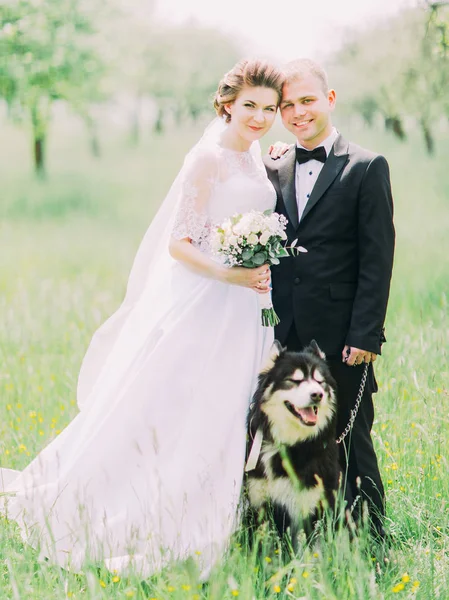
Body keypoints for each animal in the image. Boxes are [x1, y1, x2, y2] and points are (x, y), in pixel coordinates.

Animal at [245, 342, 340, 544]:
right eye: (295, 380)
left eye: (319, 381)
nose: (317, 394)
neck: (288, 444)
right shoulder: (260, 503)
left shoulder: (311, 506)